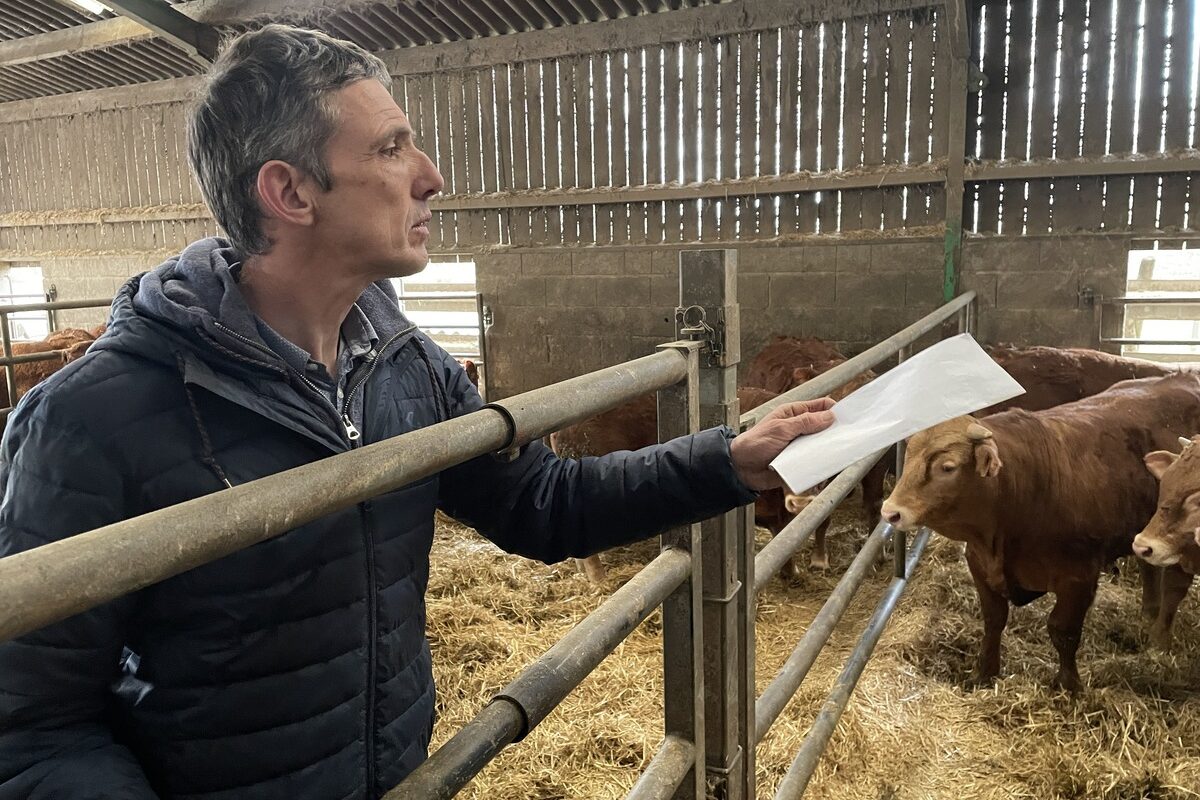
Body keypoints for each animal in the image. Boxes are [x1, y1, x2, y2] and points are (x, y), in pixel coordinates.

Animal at [878, 371, 1200, 690]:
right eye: (908, 458)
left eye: (947, 467)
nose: (891, 511)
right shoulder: (979, 564)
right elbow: (993, 620)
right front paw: (985, 673)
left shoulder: (1078, 578)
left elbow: (1063, 631)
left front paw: (1068, 686)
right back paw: (1148, 612)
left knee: (1174, 585)